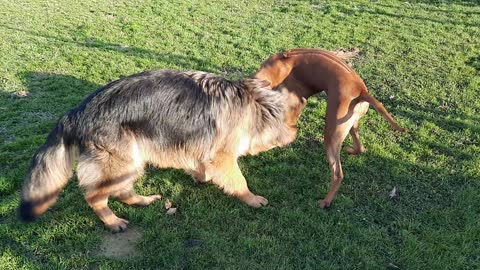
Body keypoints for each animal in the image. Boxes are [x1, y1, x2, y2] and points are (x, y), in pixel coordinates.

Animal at [253, 48, 406, 209]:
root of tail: (361, 91)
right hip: (350, 126)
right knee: (360, 147)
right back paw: (351, 150)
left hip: (331, 134)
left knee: (338, 173)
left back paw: (326, 201)